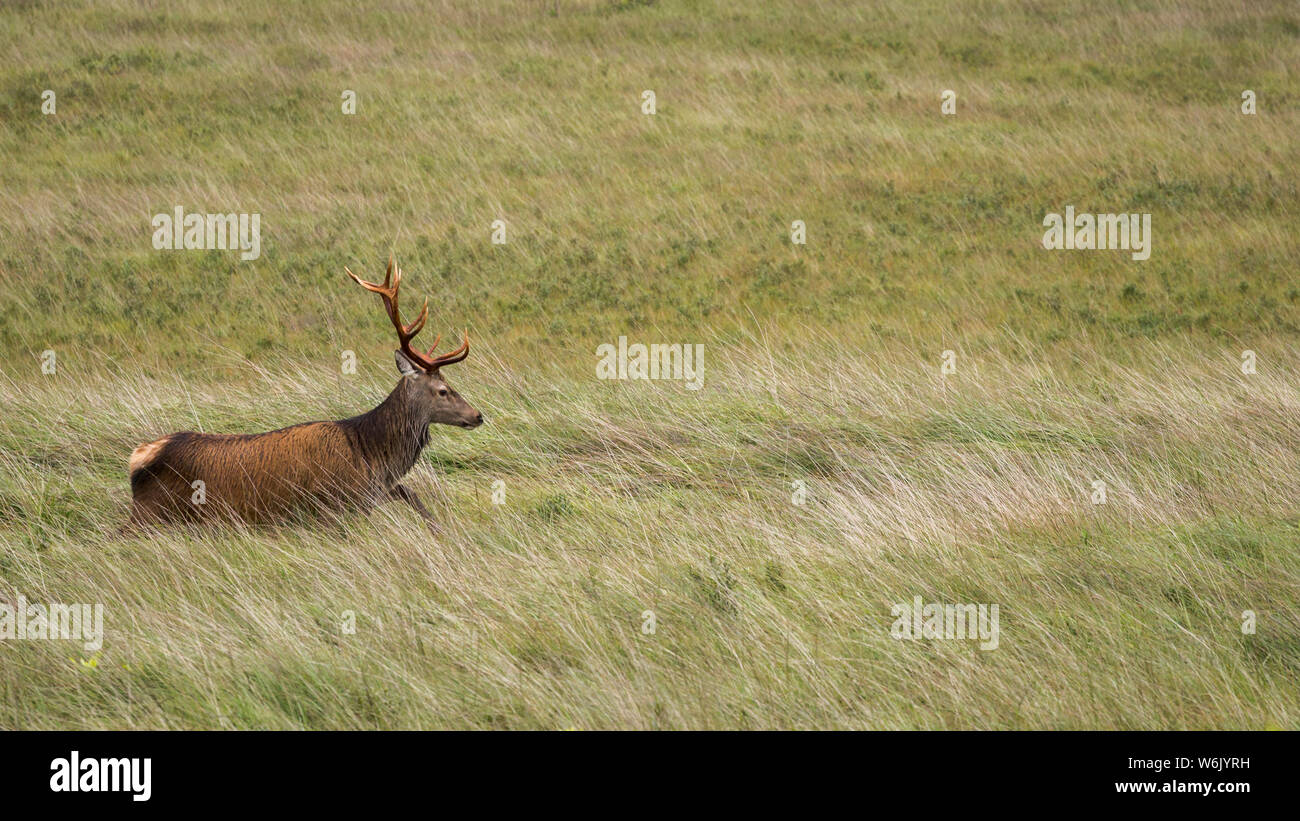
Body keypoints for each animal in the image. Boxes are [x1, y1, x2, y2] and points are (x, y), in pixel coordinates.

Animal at [127, 256, 483, 533]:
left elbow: (411, 495)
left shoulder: (373, 494)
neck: (371, 452)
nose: (478, 415)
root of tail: (139, 457)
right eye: (443, 390)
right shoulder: (333, 504)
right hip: (152, 515)